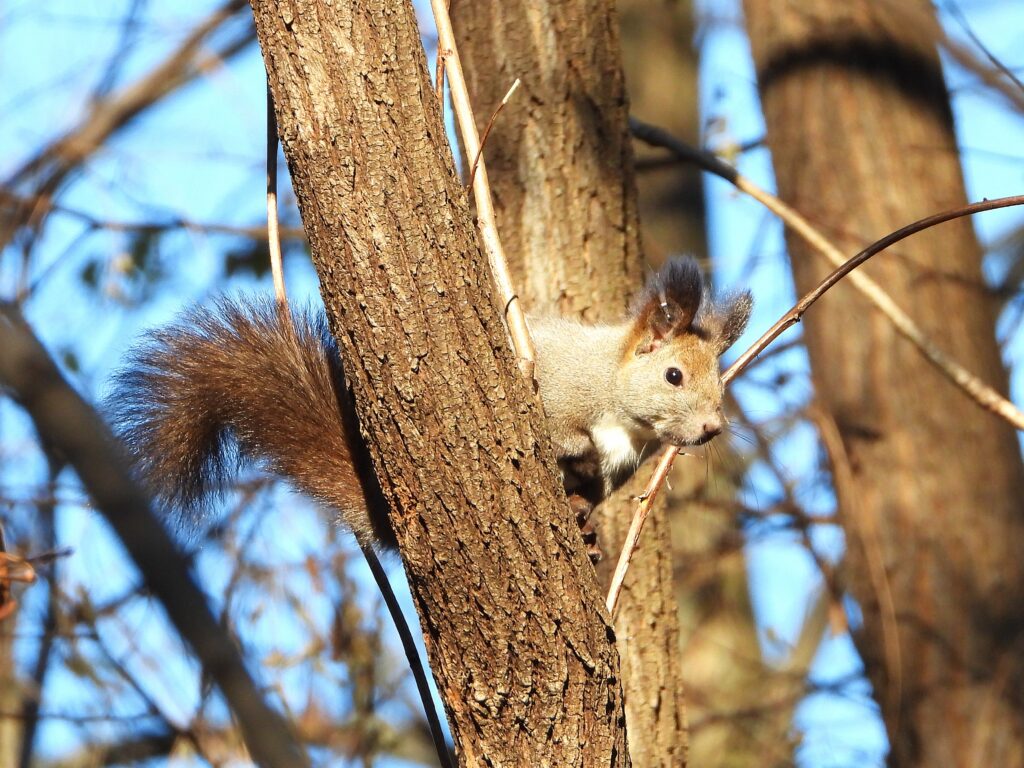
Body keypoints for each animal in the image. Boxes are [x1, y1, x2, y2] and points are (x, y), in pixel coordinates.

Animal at [108, 257, 751, 551]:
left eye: (720, 388)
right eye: (673, 375)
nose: (712, 428)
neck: (622, 418)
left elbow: (591, 493)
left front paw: (583, 517)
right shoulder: (557, 382)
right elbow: (555, 425)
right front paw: (572, 446)